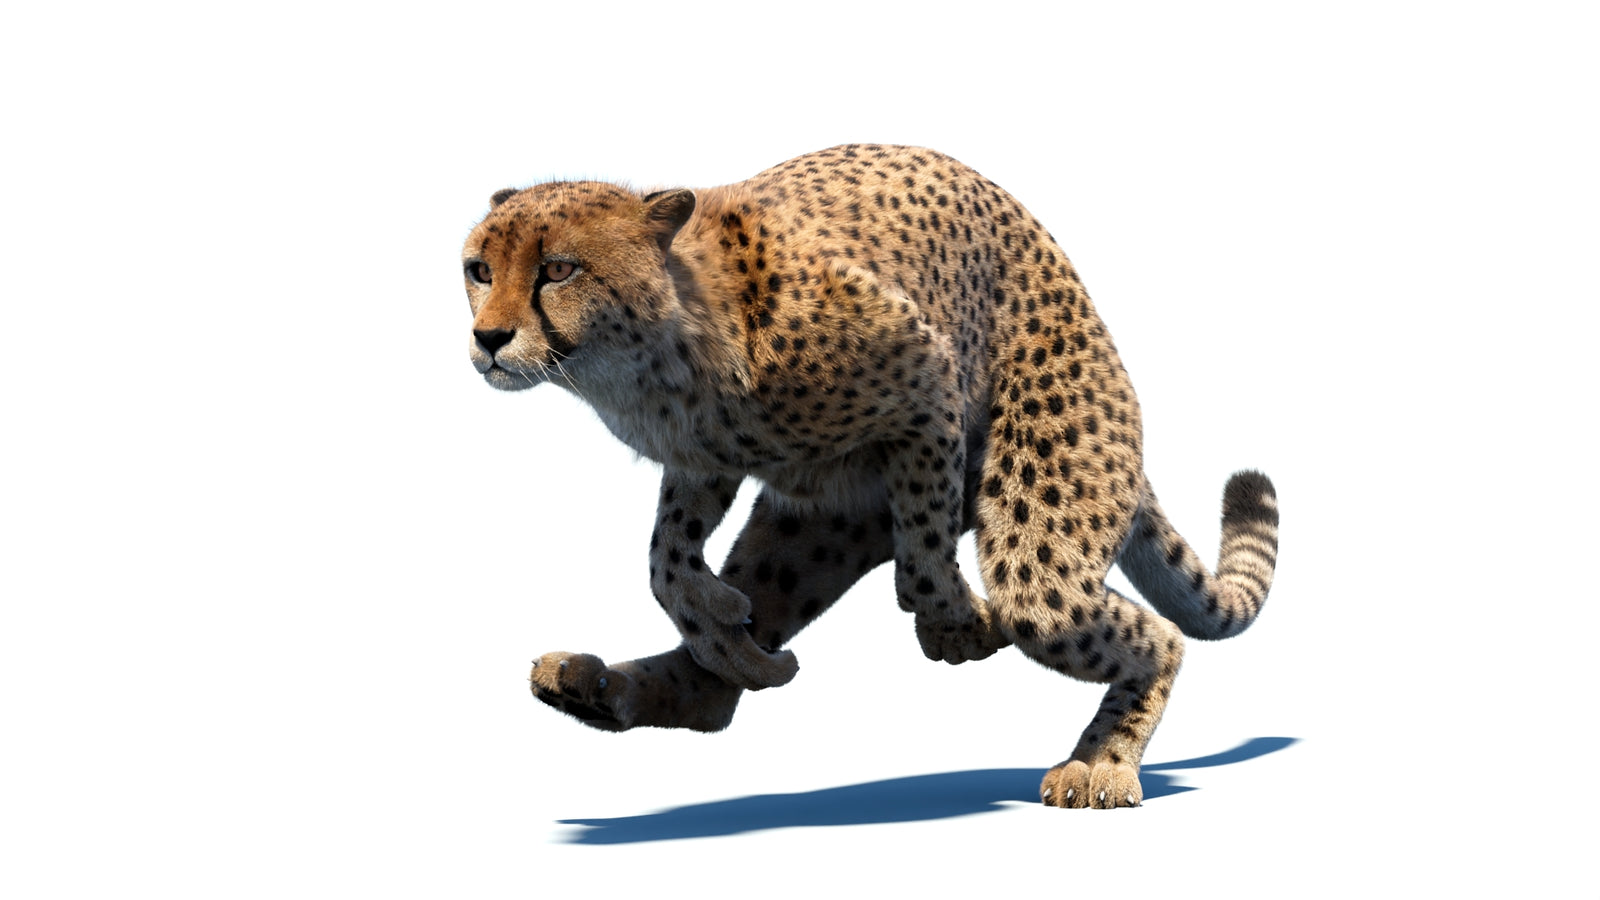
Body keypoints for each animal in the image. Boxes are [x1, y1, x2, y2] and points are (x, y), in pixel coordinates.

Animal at [460, 144, 1279, 808]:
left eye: (558, 269)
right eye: (479, 270)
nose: (488, 338)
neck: (656, 353)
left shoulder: (926, 376)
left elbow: (922, 549)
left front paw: (957, 625)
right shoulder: (702, 461)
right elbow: (666, 560)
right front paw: (718, 625)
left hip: (1042, 527)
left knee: (1129, 627)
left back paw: (1102, 764)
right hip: (810, 533)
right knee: (717, 693)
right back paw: (607, 685)